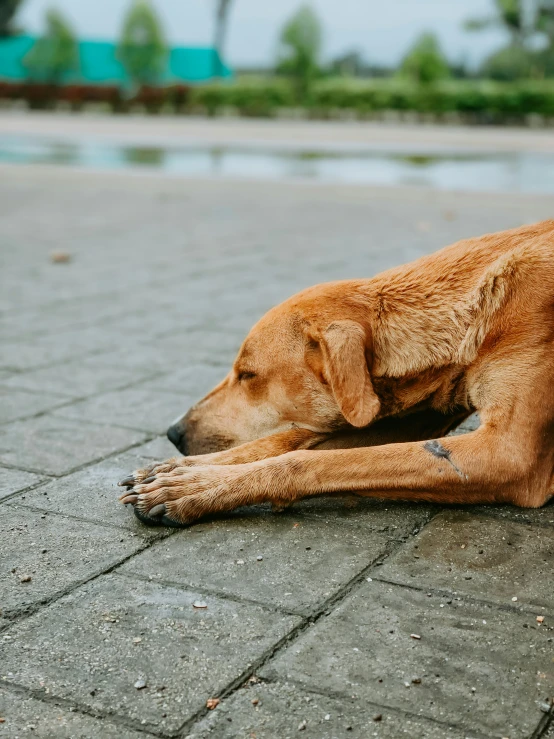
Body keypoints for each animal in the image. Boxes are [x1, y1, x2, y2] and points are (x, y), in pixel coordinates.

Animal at [119, 220, 552, 528]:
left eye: (247, 374)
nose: (173, 433)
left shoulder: (509, 454)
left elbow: (305, 460)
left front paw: (196, 488)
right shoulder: (417, 415)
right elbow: (290, 442)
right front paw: (183, 471)